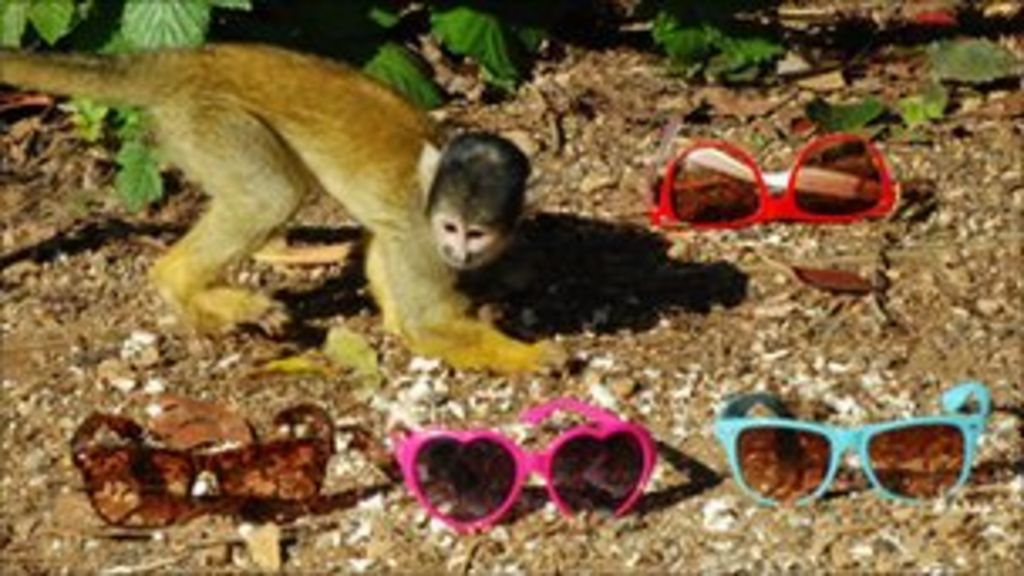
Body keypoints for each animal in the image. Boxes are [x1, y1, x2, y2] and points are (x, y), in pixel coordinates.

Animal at [0, 43, 564, 374]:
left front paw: (400, 322)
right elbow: (429, 322)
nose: (459, 254)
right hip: (210, 120)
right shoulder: (420, 235)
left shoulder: (408, 232)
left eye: (477, 233)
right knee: (271, 194)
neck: (427, 198)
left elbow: (380, 247)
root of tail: (188, 58)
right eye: (450, 227)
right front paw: (535, 356)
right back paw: (182, 283)